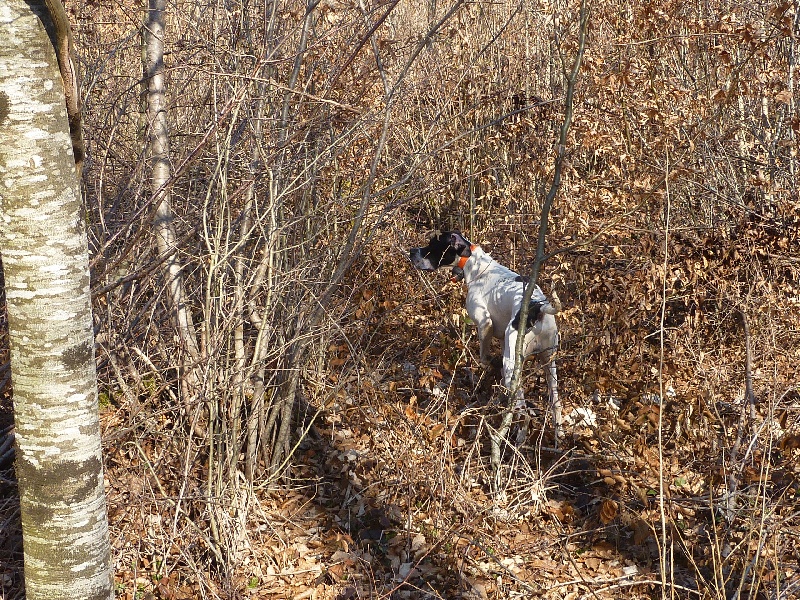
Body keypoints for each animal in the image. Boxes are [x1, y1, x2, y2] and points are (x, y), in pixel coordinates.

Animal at [406, 230, 564, 440]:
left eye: (432, 244)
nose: (411, 251)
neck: (474, 263)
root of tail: (538, 308)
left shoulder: (484, 324)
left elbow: (483, 357)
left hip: (512, 366)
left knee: (523, 412)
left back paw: (517, 437)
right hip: (549, 362)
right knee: (556, 402)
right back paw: (559, 435)